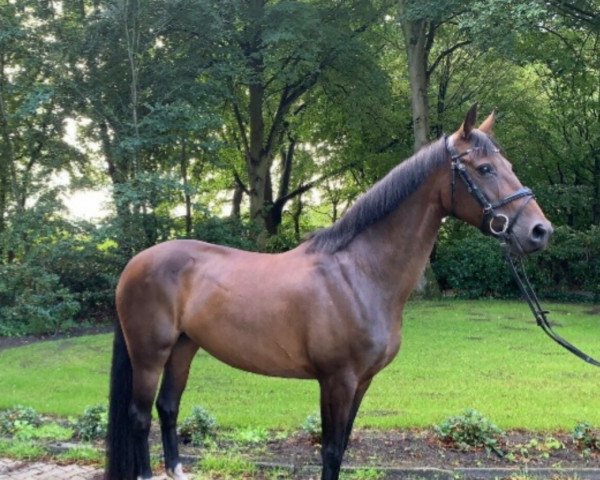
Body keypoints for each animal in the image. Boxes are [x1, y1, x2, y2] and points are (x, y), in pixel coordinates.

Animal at [104, 106, 552, 480]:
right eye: (485, 168)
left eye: (507, 165)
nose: (539, 231)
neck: (360, 274)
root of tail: (134, 263)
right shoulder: (337, 379)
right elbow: (332, 451)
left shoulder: (362, 382)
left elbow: (343, 445)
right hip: (150, 352)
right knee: (139, 416)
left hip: (184, 346)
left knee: (168, 407)